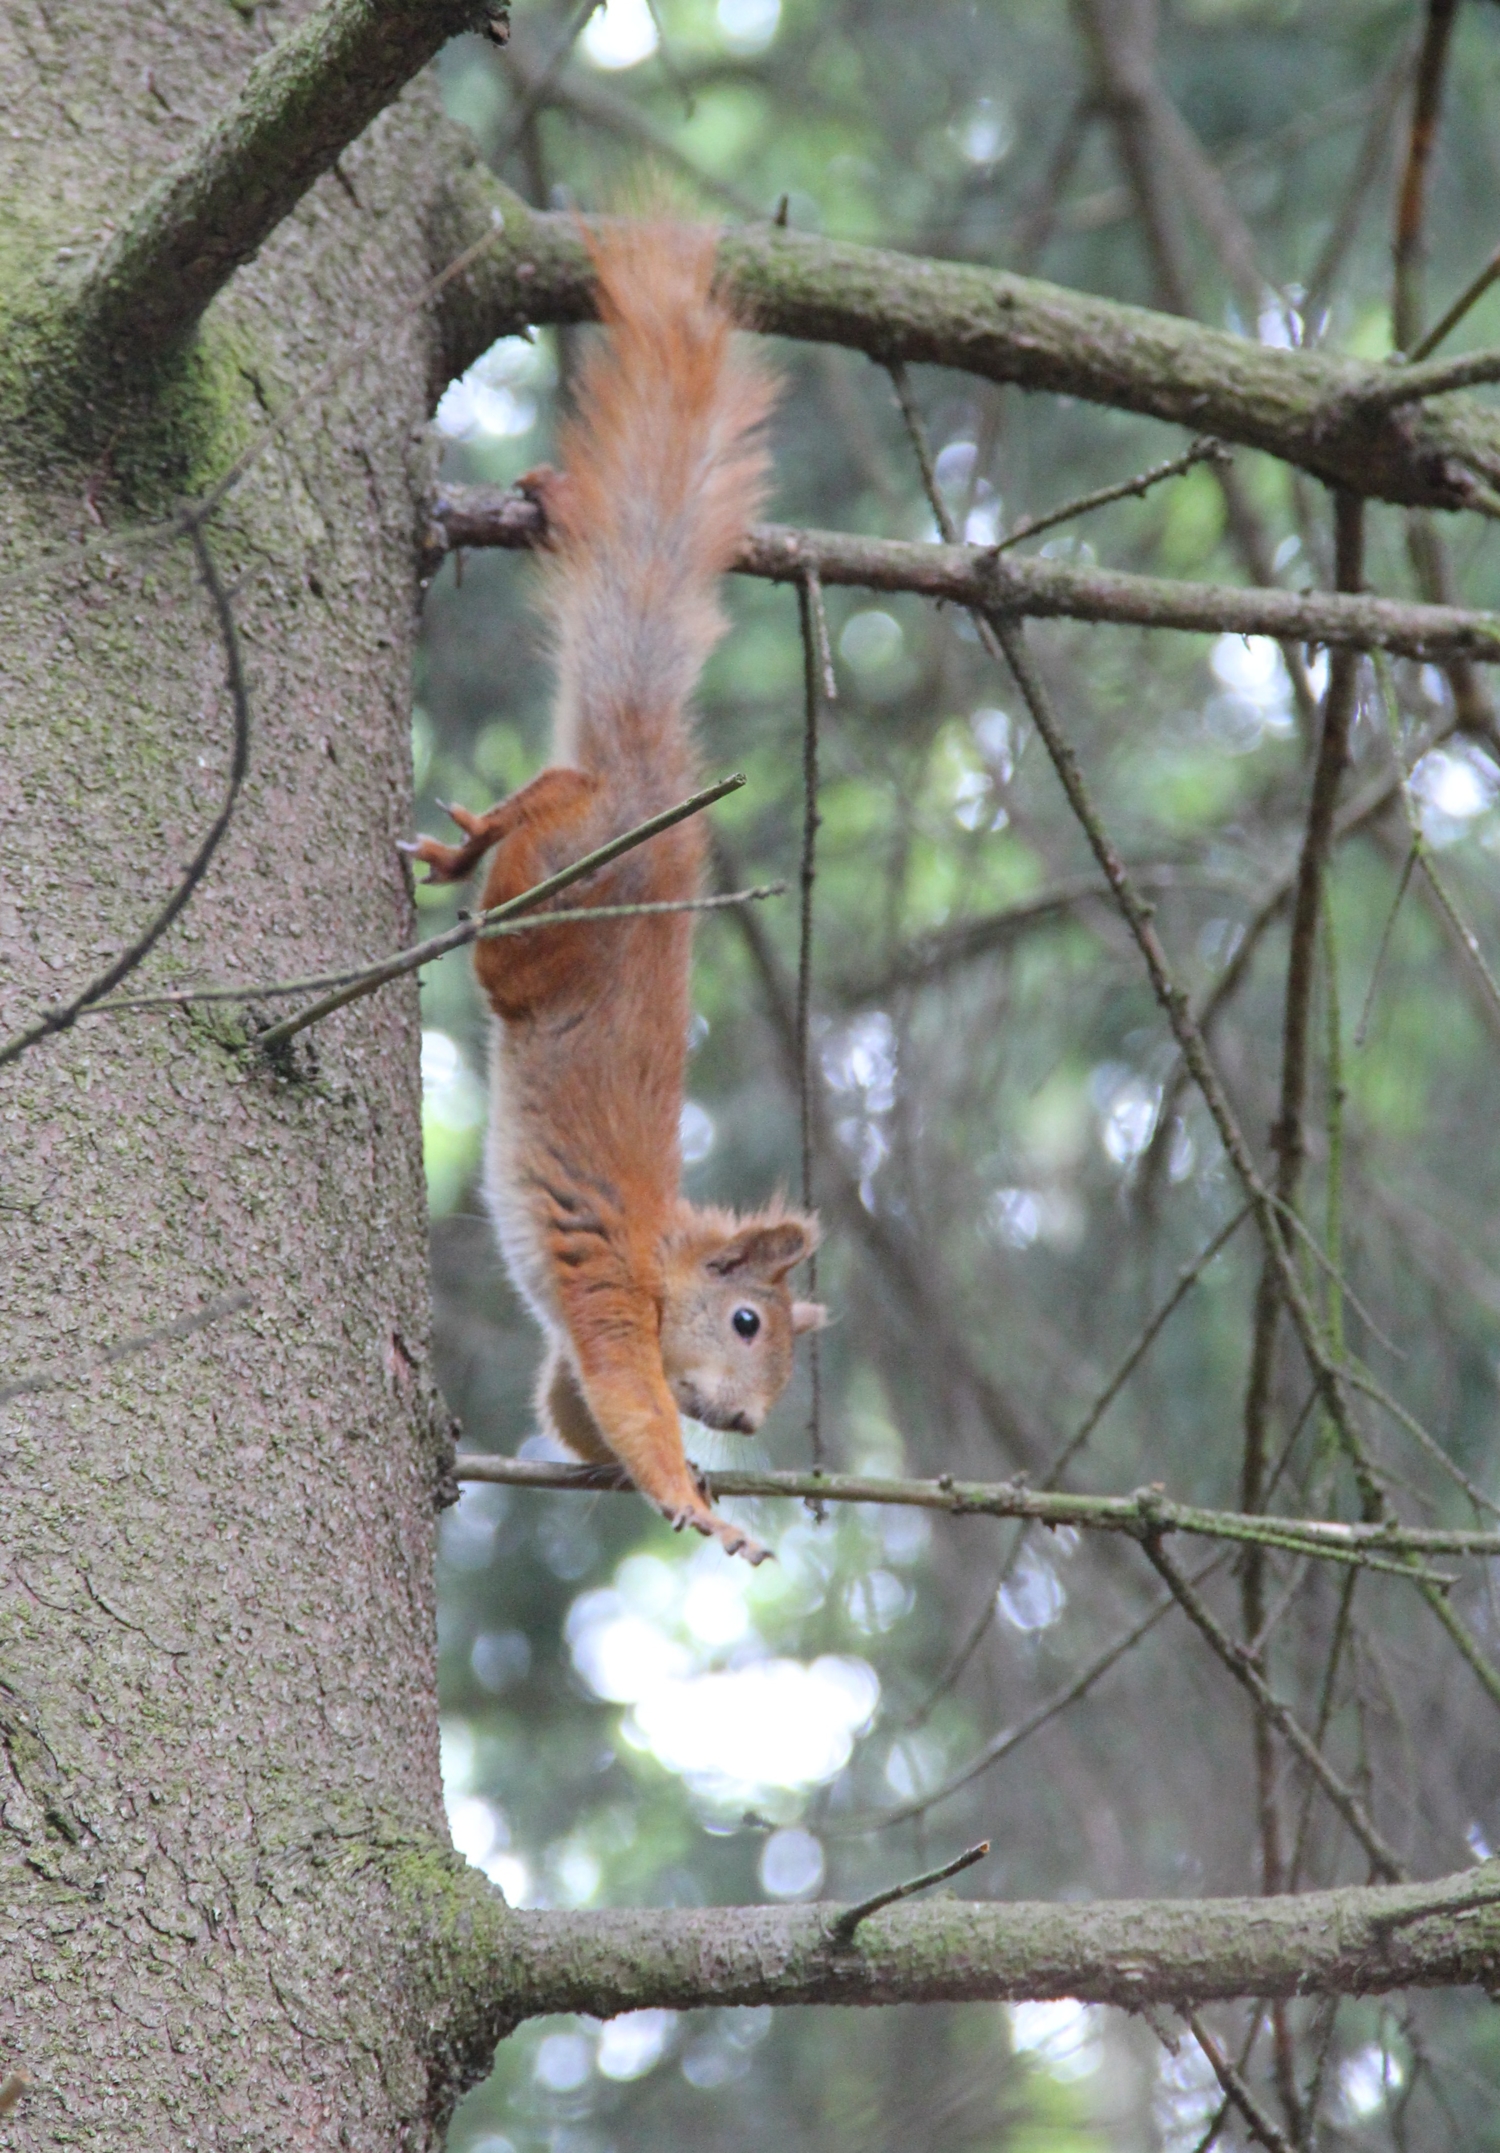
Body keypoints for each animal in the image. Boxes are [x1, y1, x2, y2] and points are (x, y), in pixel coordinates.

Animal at [408, 218, 826, 1567]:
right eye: (749, 1322)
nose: (746, 1426)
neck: (664, 1253)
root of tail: (654, 784)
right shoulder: (605, 1288)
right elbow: (626, 1397)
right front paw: (695, 1493)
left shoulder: (565, 1359)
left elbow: (569, 1408)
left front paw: (692, 1497)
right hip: (551, 913)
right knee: (535, 841)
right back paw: (473, 843)